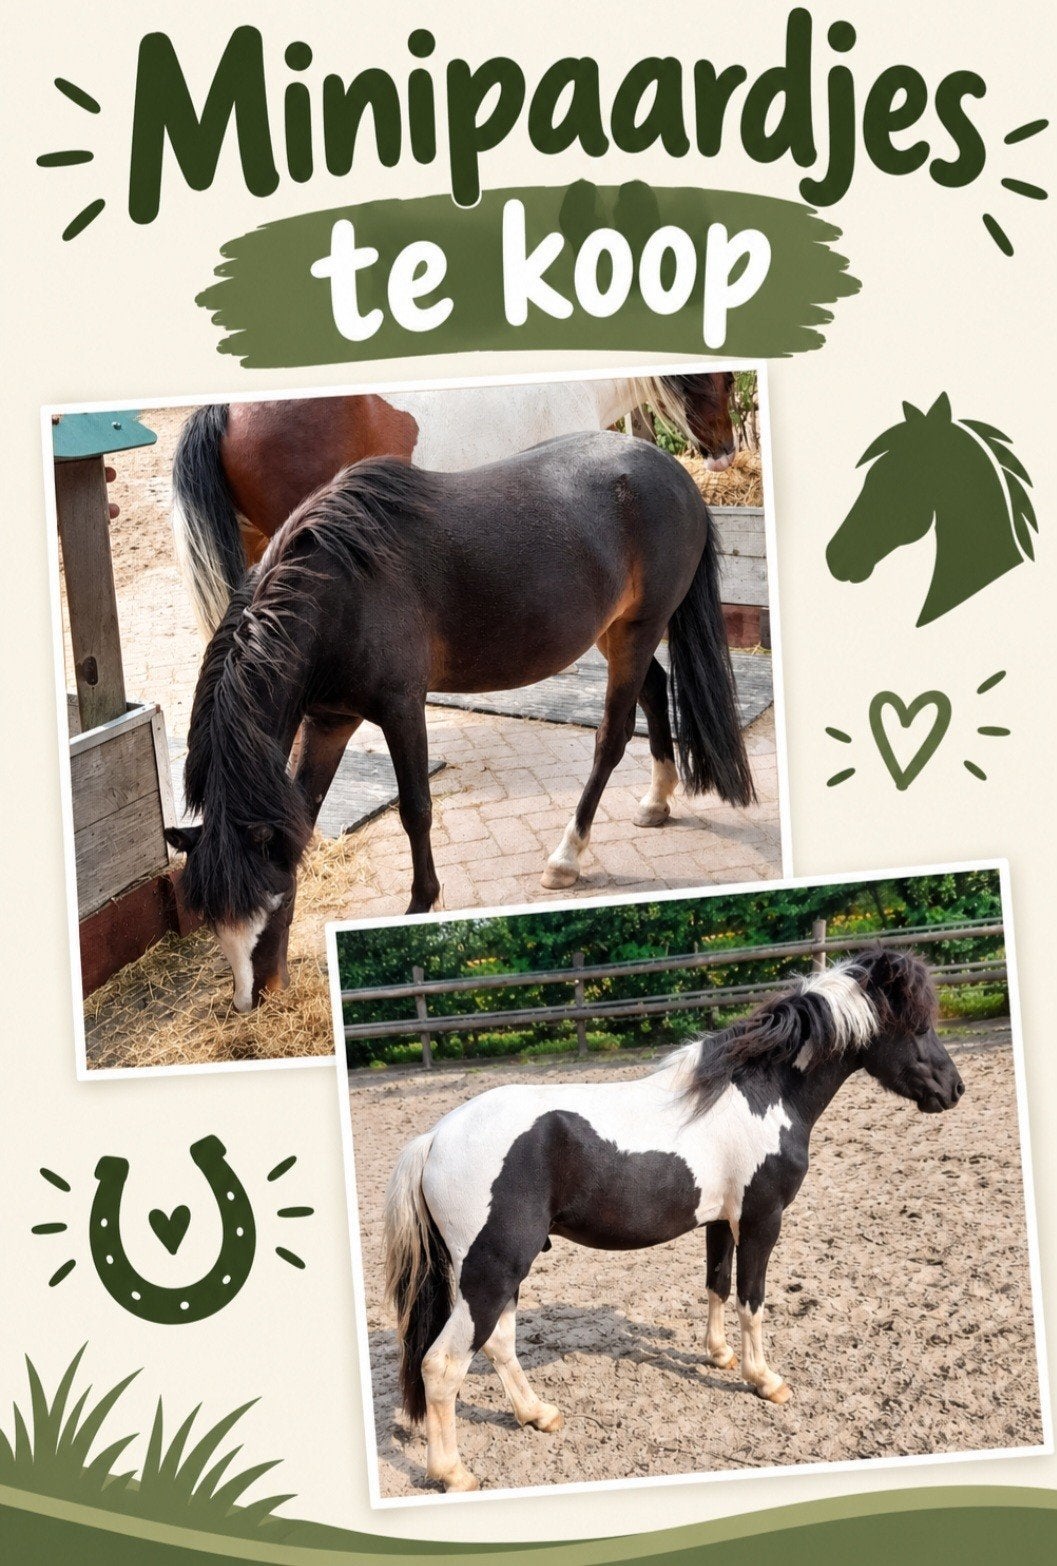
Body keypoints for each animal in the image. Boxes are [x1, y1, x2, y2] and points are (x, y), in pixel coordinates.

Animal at [163, 431, 754, 1011]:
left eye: (274, 899)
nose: (254, 999)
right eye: (212, 920)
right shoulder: (329, 722)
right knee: (655, 692)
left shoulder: (402, 709)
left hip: (638, 630)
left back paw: (566, 857)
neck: (337, 590)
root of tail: (674, 474)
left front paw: (420, 905)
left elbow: (416, 810)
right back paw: (656, 800)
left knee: (611, 738)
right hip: (617, 631)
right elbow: (303, 819)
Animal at [382, 947, 964, 1492]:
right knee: (442, 1365)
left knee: (498, 1344)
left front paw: (720, 1355)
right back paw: (453, 1473)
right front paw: (764, 1380)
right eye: (918, 1025)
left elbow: (717, 1285)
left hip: (501, 1275)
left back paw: (538, 1415)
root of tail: (434, 1138)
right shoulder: (761, 1220)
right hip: (492, 1272)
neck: (763, 1094)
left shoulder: (721, 1222)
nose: (954, 1089)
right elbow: (753, 1300)